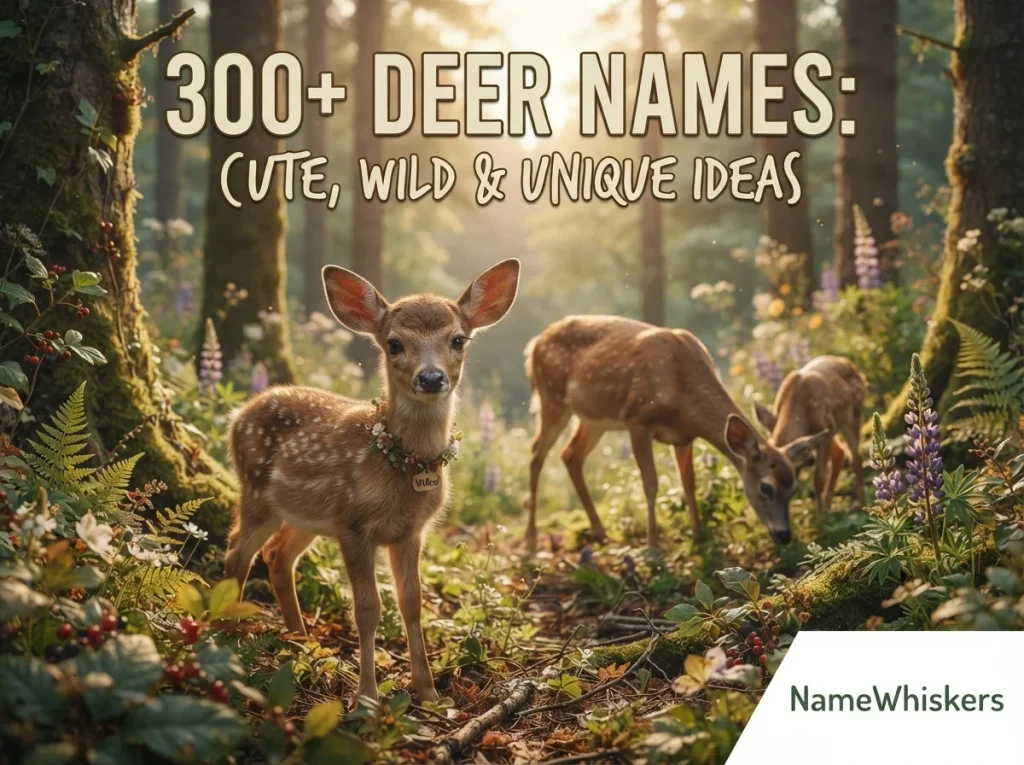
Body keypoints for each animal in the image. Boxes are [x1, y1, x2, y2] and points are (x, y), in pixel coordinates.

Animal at [224, 259, 520, 705]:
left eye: (458, 340)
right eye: (394, 344)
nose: (430, 378)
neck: (400, 464)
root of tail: (237, 414)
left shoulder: (411, 532)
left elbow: (412, 602)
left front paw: (428, 692)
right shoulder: (353, 524)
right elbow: (367, 608)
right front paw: (366, 697)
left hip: (307, 516)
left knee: (277, 556)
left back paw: (301, 640)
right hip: (257, 493)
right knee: (236, 553)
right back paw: (224, 636)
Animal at [523, 316, 828, 555]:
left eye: (794, 487)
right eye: (766, 487)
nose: (784, 535)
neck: (682, 397)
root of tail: (533, 344)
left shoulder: (683, 437)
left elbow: (688, 485)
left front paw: (699, 536)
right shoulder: (637, 420)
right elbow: (651, 484)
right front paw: (652, 547)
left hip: (593, 419)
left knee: (570, 454)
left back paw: (600, 533)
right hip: (552, 399)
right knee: (536, 453)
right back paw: (531, 541)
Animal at [753, 355, 868, 516]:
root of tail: (851, 365)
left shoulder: (827, 430)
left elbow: (819, 477)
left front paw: (821, 518)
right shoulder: (825, 432)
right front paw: (823, 513)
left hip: (853, 418)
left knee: (856, 458)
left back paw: (861, 505)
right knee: (840, 452)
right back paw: (830, 505)